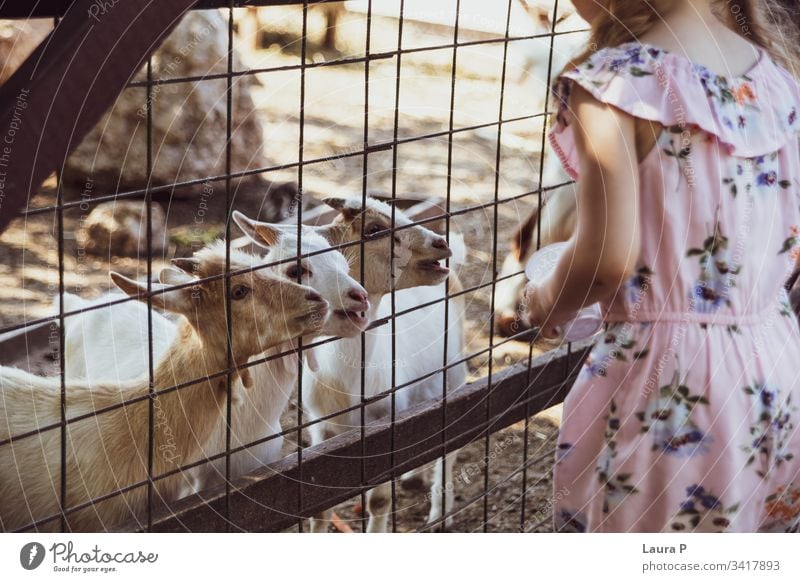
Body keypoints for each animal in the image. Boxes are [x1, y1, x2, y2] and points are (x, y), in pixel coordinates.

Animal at [304, 198, 468, 536]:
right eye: (374, 229)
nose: (441, 243)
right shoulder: (319, 427)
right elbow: (320, 510)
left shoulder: (385, 426)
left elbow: (378, 501)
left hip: (454, 373)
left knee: (450, 444)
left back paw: (440, 513)